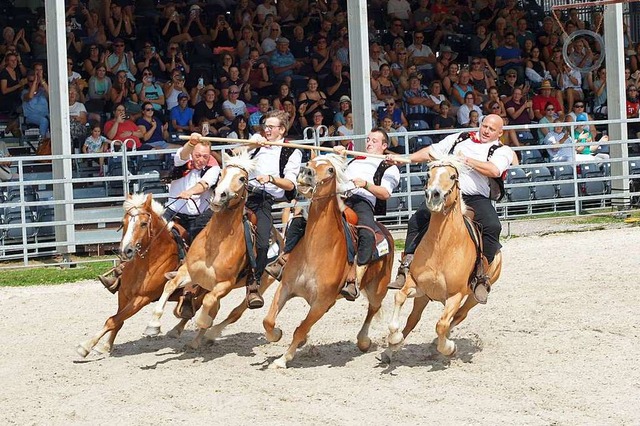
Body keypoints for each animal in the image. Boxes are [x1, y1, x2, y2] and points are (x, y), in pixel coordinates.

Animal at [76, 193, 188, 356]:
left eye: (143, 224)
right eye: (123, 223)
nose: (125, 250)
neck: (144, 265)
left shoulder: (142, 298)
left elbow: (113, 320)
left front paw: (86, 346)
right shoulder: (123, 294)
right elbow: (117, 321)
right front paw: (105, 346)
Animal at [157, 147, 276, 350]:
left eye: (242, 178)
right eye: (222, 174)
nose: (220, 195)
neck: (215, 245)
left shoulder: (224, 284)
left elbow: (209, 306)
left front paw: (204, 325)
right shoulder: (190, 273)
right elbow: (170, 286)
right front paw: (153, 324)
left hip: (264, 282)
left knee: (234, 311)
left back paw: (208, 335)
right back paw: (184, 333)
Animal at [262, 155, 392, 368]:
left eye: (331, 170)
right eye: (310, 162)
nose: (305, 172)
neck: (316, 251)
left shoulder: (321, 303)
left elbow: (300, 329)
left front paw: (283, 359)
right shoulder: (286, 287)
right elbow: (269, 320)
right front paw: (277, 334)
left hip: (377, 289)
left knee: (373, 308)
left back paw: (364, 340)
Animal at [382, 156, 502, 362]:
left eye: (453, 176)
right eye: (428, 175)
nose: (433, 195)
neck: (442, 247)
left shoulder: (456, 295)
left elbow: (442, 324)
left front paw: (448, 348)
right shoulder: (417, 285)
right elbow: (399, 297)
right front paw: (394, 337)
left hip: (472, 298)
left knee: (459, 316)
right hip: (424, 297)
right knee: (413, 319)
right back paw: (393, 348)